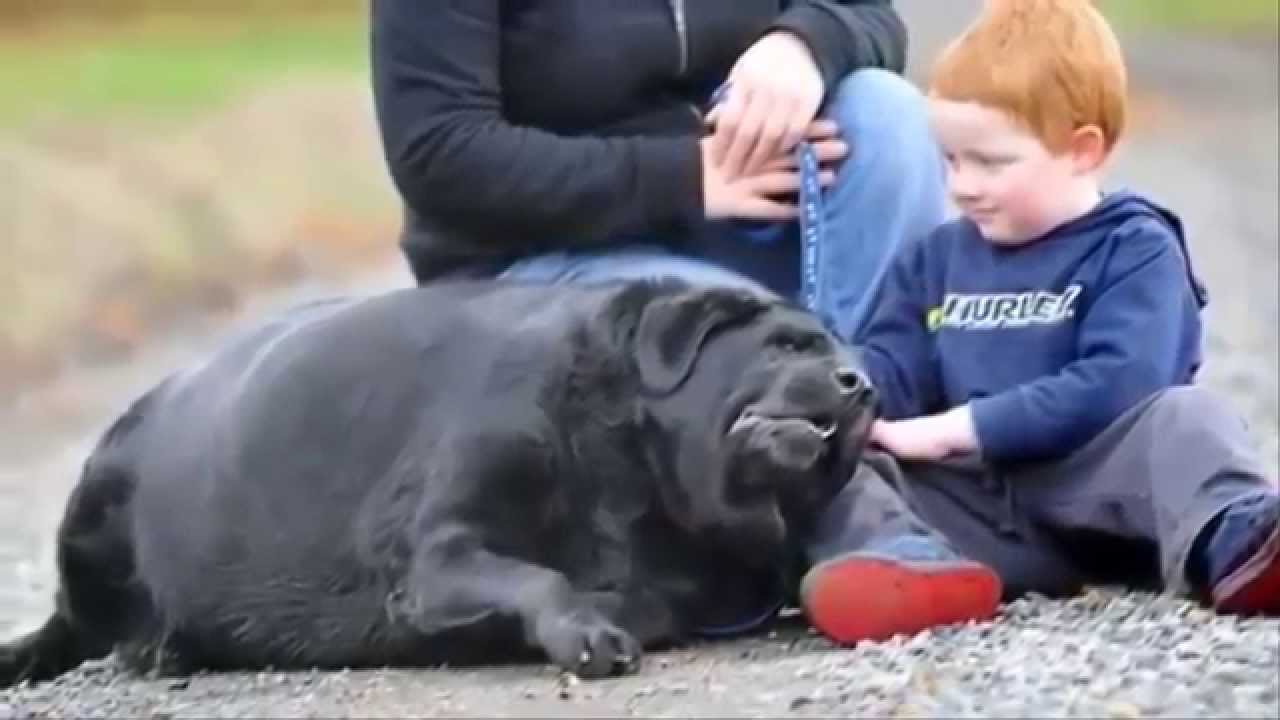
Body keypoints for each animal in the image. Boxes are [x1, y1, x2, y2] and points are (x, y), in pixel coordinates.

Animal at [0, 275, 875, 681]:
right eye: (790, 344)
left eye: (843, 355)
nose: (862, 383)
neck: (627, 471)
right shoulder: (437, 556)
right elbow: (539, 578)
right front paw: (583, 626)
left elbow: (632, 595)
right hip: (96, 503)